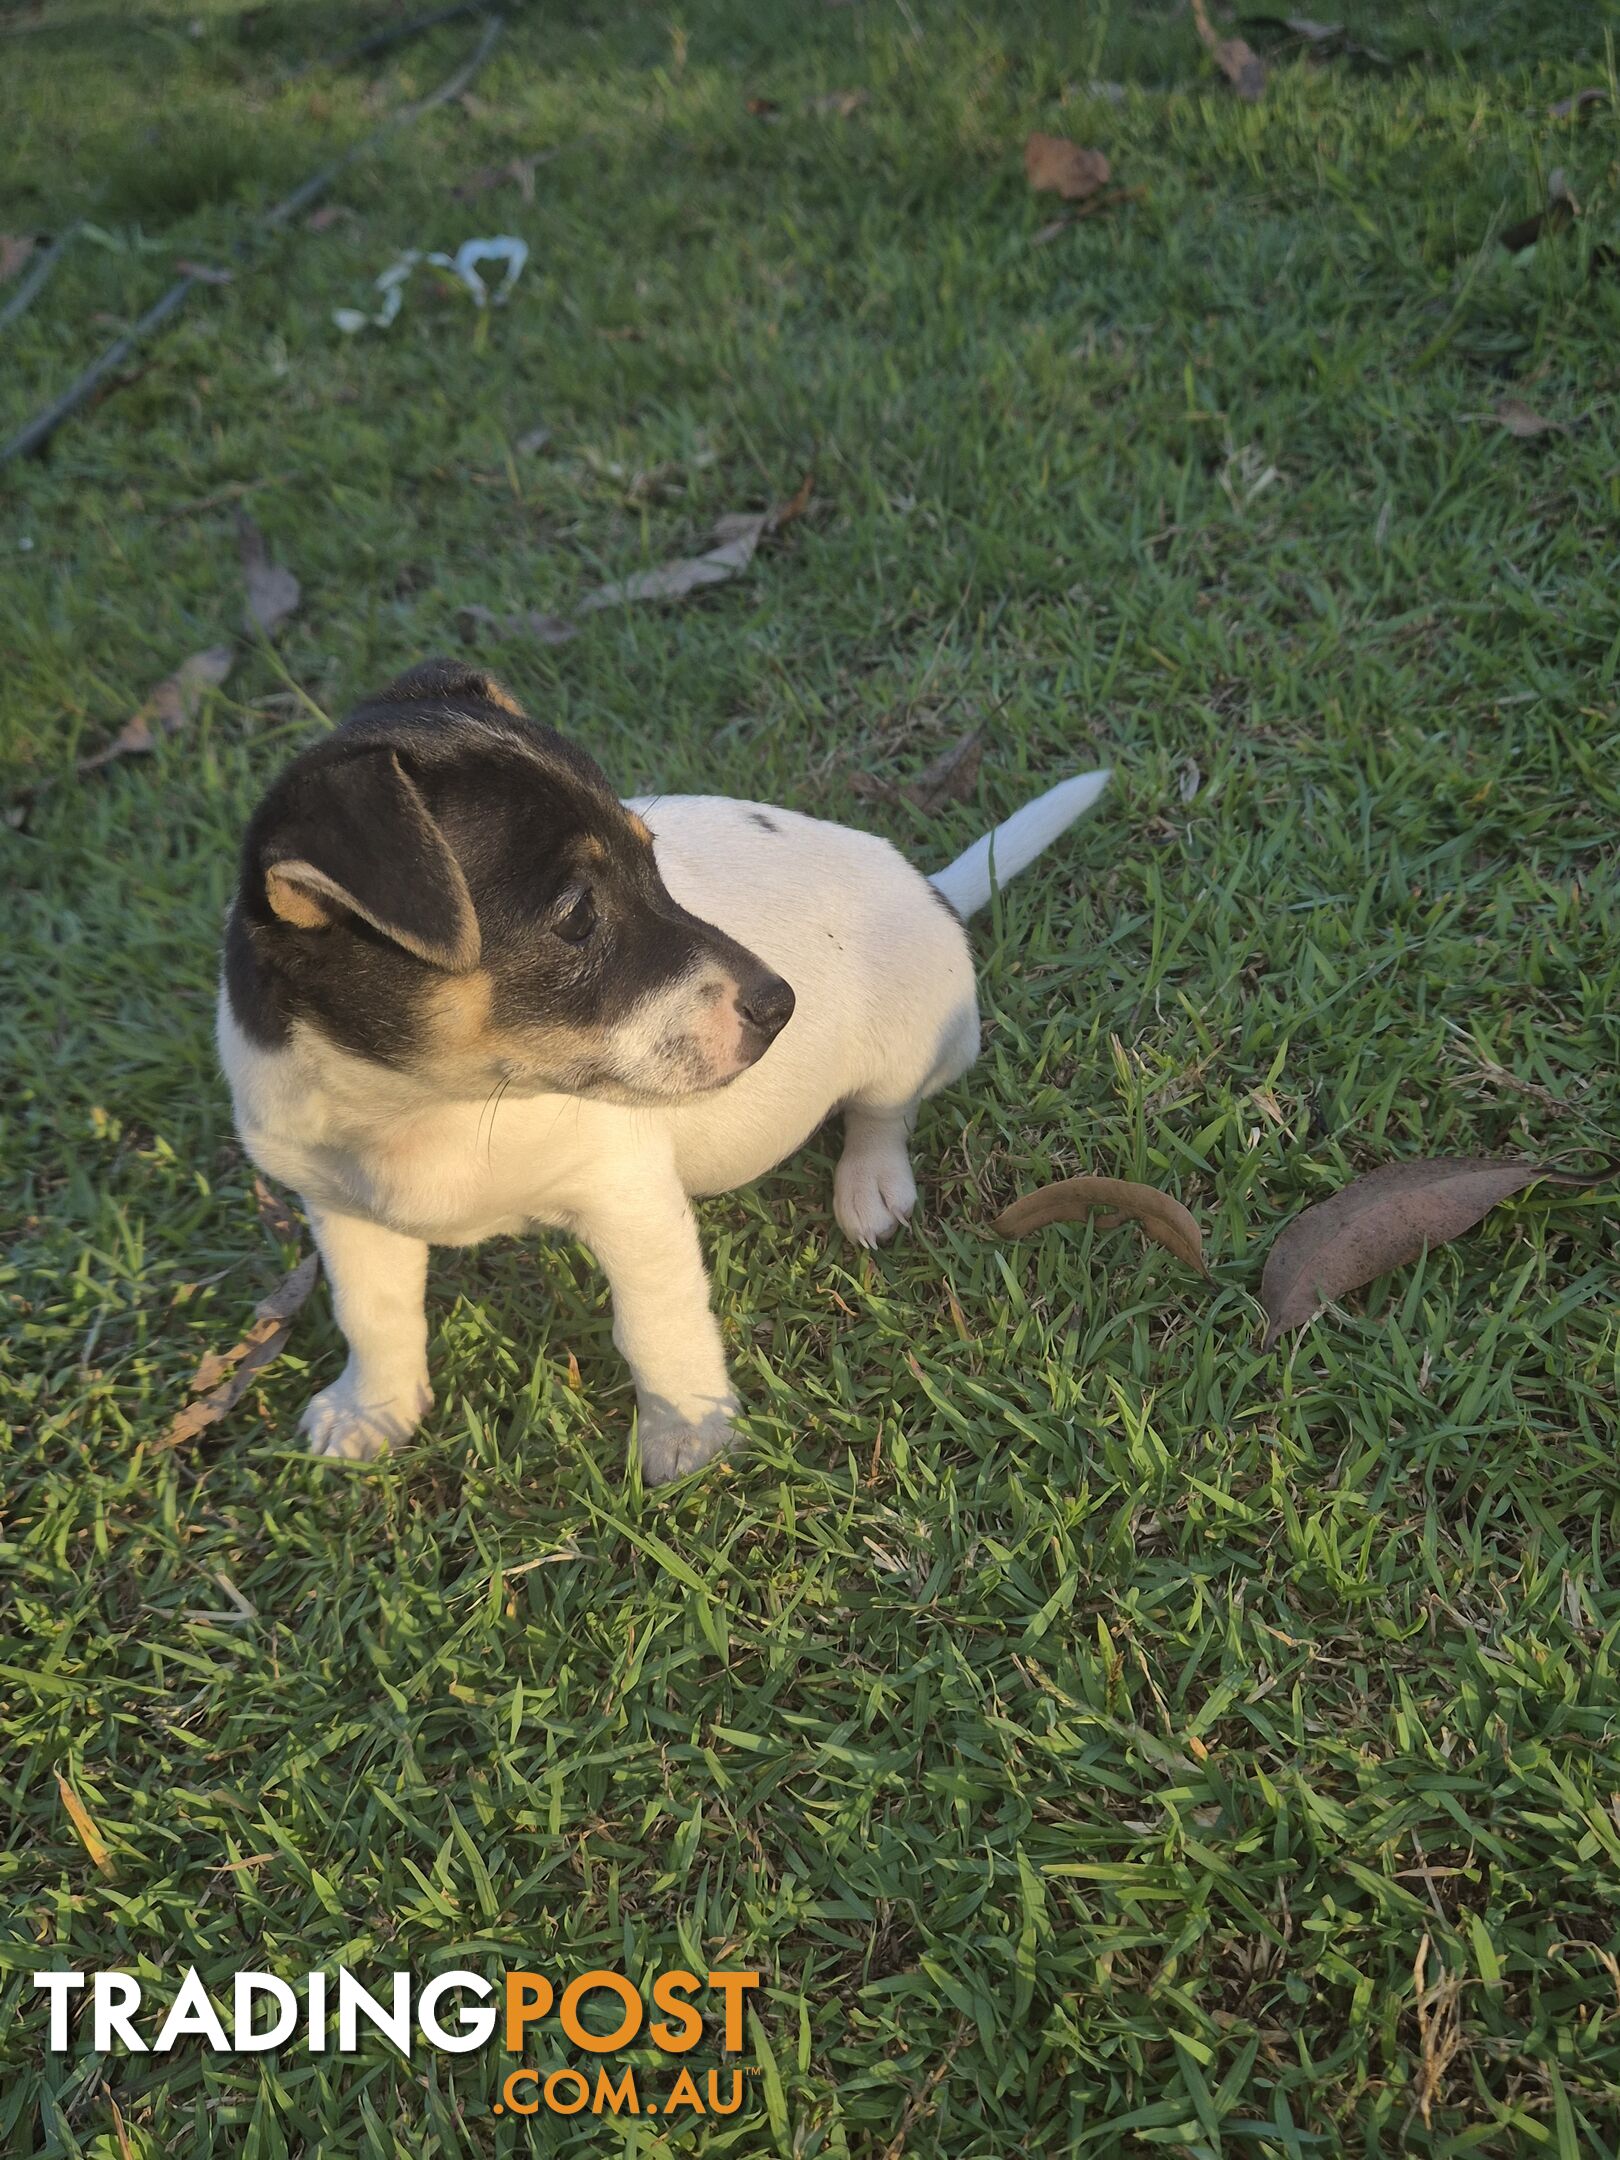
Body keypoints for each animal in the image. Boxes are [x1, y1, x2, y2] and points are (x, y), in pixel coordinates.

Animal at [216, 656, 1114, 1486]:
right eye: (578, 915)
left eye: (657, 864)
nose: (782, 1003)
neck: (433, 1106)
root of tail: (934, 891)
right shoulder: (342, 1212)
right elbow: (374, 1315)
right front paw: (373, 1408)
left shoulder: (629, 1202)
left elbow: (656, 1328)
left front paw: (689, 1430)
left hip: (912, 1039)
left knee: (883, 1112)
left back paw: (870, 1183)